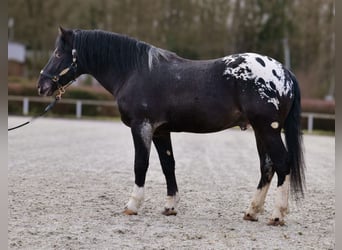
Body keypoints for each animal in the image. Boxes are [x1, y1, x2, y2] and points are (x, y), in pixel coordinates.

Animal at [36, 27, 304, 227]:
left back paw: (277, 215)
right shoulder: (160, 131)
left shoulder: (141, 126)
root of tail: (284, 72)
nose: (41, 86)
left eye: (58, 53)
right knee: (267, 167)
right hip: (261, 131)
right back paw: (252, 211)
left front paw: (132, 205)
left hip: (268, 129)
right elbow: (168, 165)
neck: (134, 72)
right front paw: (170, 207)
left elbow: (140, 165)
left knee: (282, 164)